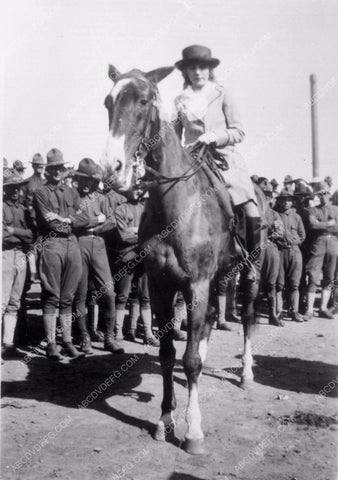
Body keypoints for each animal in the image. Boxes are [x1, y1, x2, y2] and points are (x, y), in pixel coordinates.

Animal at [101, 65, 266, 456]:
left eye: (144, 100)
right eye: (108, 102)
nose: (112, 169)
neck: (176, 205)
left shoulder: (197, 284)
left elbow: (188, 360)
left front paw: (193, 432)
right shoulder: (161, 286)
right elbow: (167, 354)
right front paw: (165, 419)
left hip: (246, 273)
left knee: (246, 317)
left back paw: (247, 373)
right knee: (205, 324)